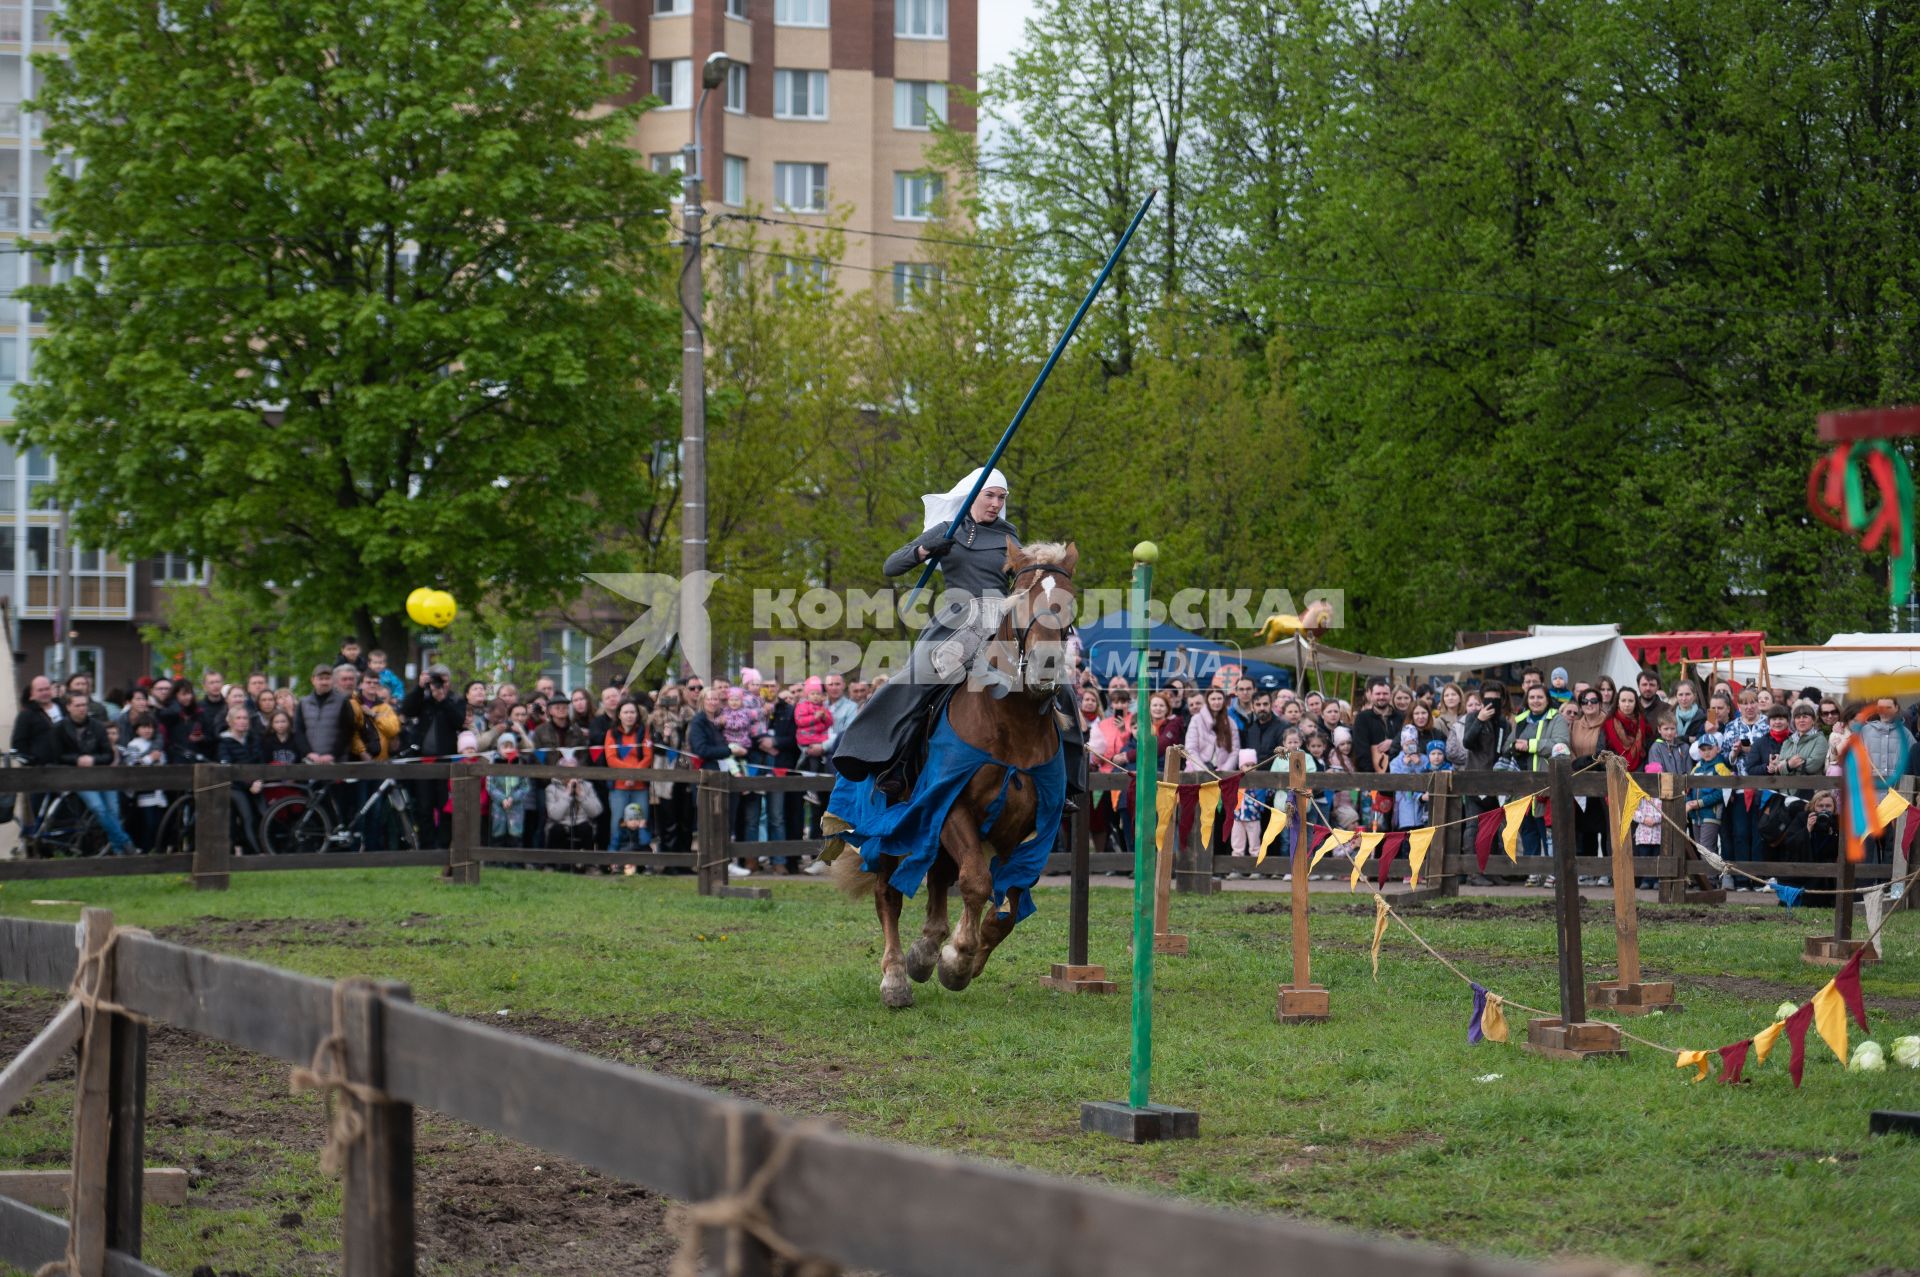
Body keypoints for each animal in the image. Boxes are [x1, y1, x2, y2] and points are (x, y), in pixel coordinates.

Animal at [840, 537, 1082, 1006]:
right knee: (888, 893)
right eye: (1021, 595)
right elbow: (976, 882)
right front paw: (955, 961)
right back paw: (896, 976)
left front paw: (962, 959)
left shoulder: (1030, 826)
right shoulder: (949, 805)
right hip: (894, 821)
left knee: (937, 876)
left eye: (1068, 600)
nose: (1045, 663)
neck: (1012, 726)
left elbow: (1008, 903)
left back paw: (925, 950)